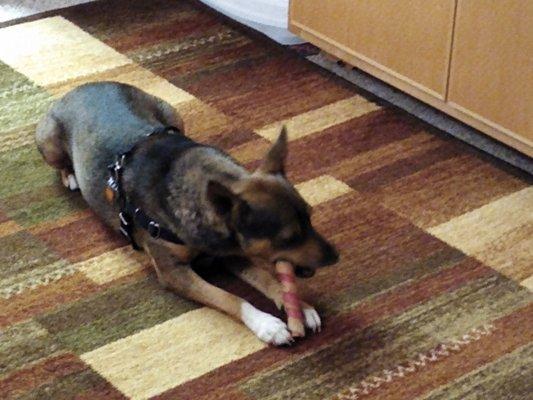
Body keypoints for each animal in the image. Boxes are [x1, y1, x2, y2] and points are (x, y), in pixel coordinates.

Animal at [36, 81, 336, 344]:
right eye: (288, 238)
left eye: (311, 217)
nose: (336, 257)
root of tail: (81, 87)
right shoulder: (173, 274)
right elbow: (231, 298)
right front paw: (268, 325)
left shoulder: (231, 251)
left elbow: (269, 279)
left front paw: (300, 307)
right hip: (49, 143)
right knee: (60, 163)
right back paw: (70, 175)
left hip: (172, 114)